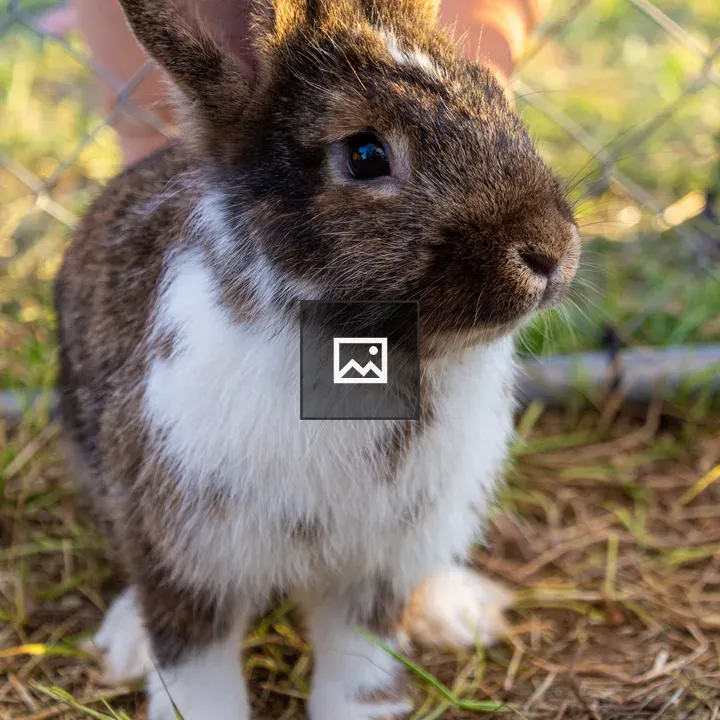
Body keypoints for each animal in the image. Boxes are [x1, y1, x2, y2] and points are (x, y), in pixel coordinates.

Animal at [55, 0, 581, 718]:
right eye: (365, 155)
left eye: (495, 96)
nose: (551, 250)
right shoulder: (186, 555)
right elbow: (197, 670)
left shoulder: (376, 567)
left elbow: (359, 666)